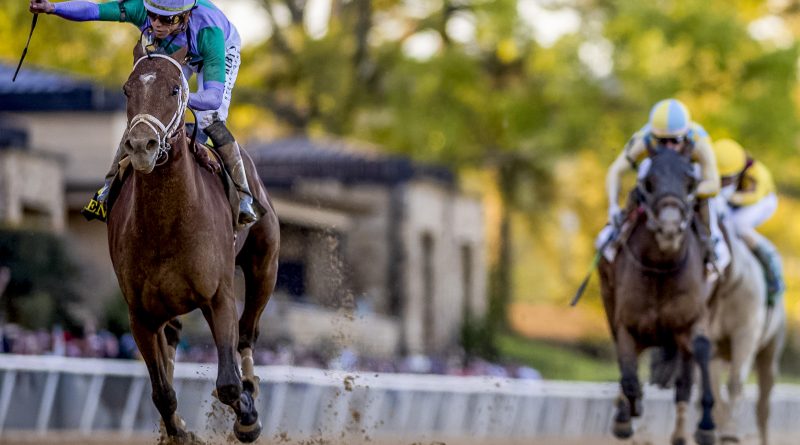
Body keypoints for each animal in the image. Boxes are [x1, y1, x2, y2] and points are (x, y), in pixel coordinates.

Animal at [107, 42, 280, 443]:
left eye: (175, 89)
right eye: (127, 90)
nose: (141, 145)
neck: (166, 225)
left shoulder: (218, 296)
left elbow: (229, 384)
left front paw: (247, 418)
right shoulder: (140, 314)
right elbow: (162, 391)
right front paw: (179, 431)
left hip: (265, 265)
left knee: (248, 333)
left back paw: (251, 387)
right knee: (172, 344)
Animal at [598, 148, 717, 445]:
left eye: (690, 181)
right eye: (649, 181)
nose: (670, 228)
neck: (662, 268)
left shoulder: (692, 319)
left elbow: (700, 352)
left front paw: (706, 426)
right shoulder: (628, 324)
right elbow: (629, 375)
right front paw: (627, 412)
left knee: (684, 381)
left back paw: (681, 433)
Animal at [707, 209, 786, 445]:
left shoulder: (746, 333)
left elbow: (735, 383)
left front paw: (730, 433)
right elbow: (712, 388)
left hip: (770, 349)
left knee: (763, 405)